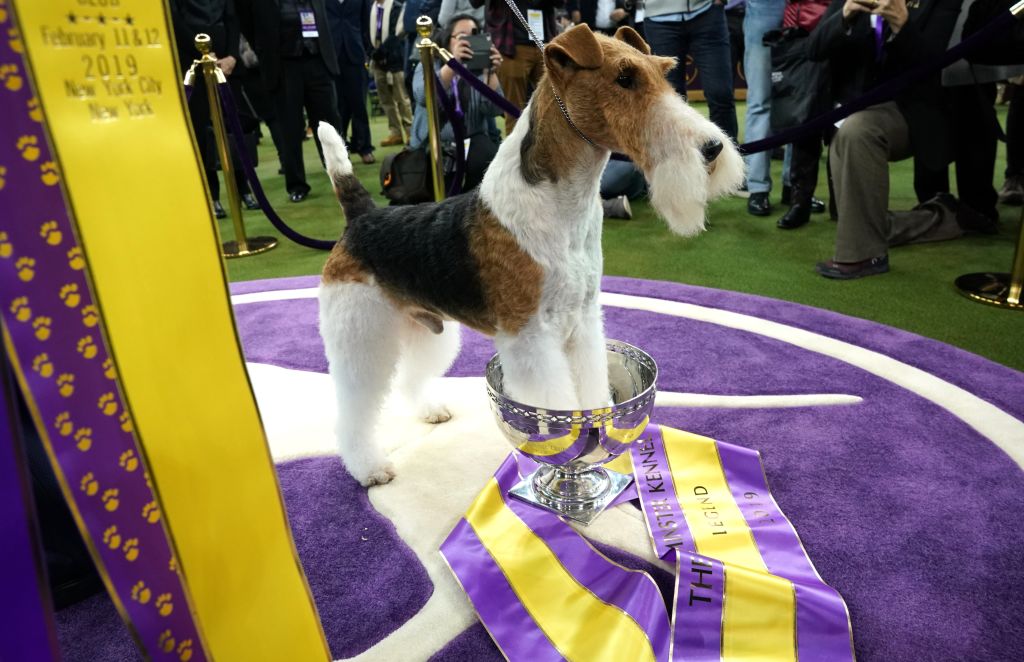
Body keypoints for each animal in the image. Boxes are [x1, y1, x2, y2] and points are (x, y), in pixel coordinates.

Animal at [315, 24, 741, 487]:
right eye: (625, 78)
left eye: (663, 73)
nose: (713, 149)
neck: (564, 206)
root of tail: (361, 216)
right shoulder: (531, 336)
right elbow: (556, 405)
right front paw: (568, 459)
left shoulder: (583, 320)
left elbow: (589, 390)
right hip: (362, 333)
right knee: (353, 408)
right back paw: (371, 467)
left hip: (426, 326)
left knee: (411, 377)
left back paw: (431, 410)